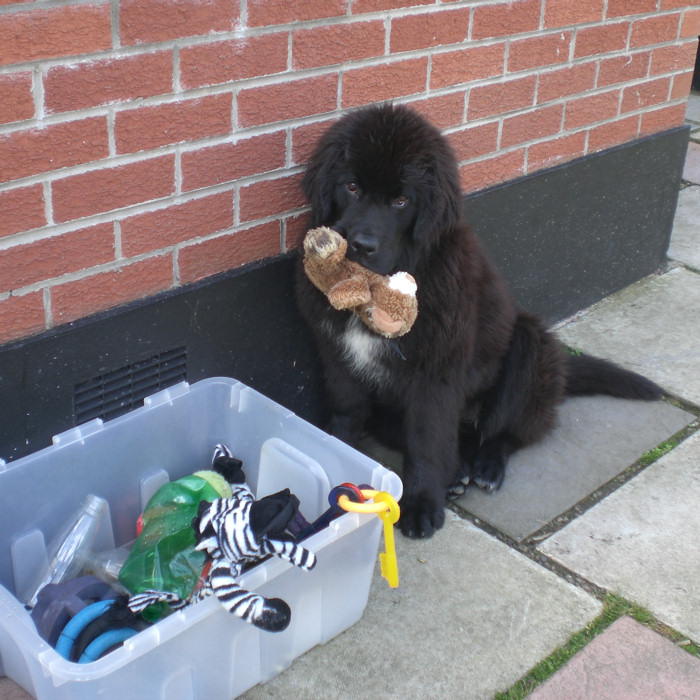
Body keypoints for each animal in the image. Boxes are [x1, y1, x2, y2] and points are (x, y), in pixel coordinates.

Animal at [294, 104, 660, 540]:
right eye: (351, 187)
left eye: (401, 200)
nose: (361, 247)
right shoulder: (336, 353)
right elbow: (348, 411)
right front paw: (333, 455)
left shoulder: (437, 371)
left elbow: (427, 439)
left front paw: (421, 504)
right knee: (458, 438)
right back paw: (458, 472)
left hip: (530, 345)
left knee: (507, 430)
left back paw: (485, 466)